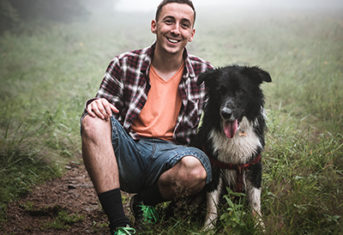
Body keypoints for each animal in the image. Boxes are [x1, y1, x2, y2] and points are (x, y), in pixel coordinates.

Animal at [192, 65, 272, 230]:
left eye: (241, 91)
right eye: (220, 91)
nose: (225, 113)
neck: (237, 135)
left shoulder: (254, 165)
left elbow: (255, 203)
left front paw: (259, 227)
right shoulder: (214, 166)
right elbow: (212, 204)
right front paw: (208, 228)